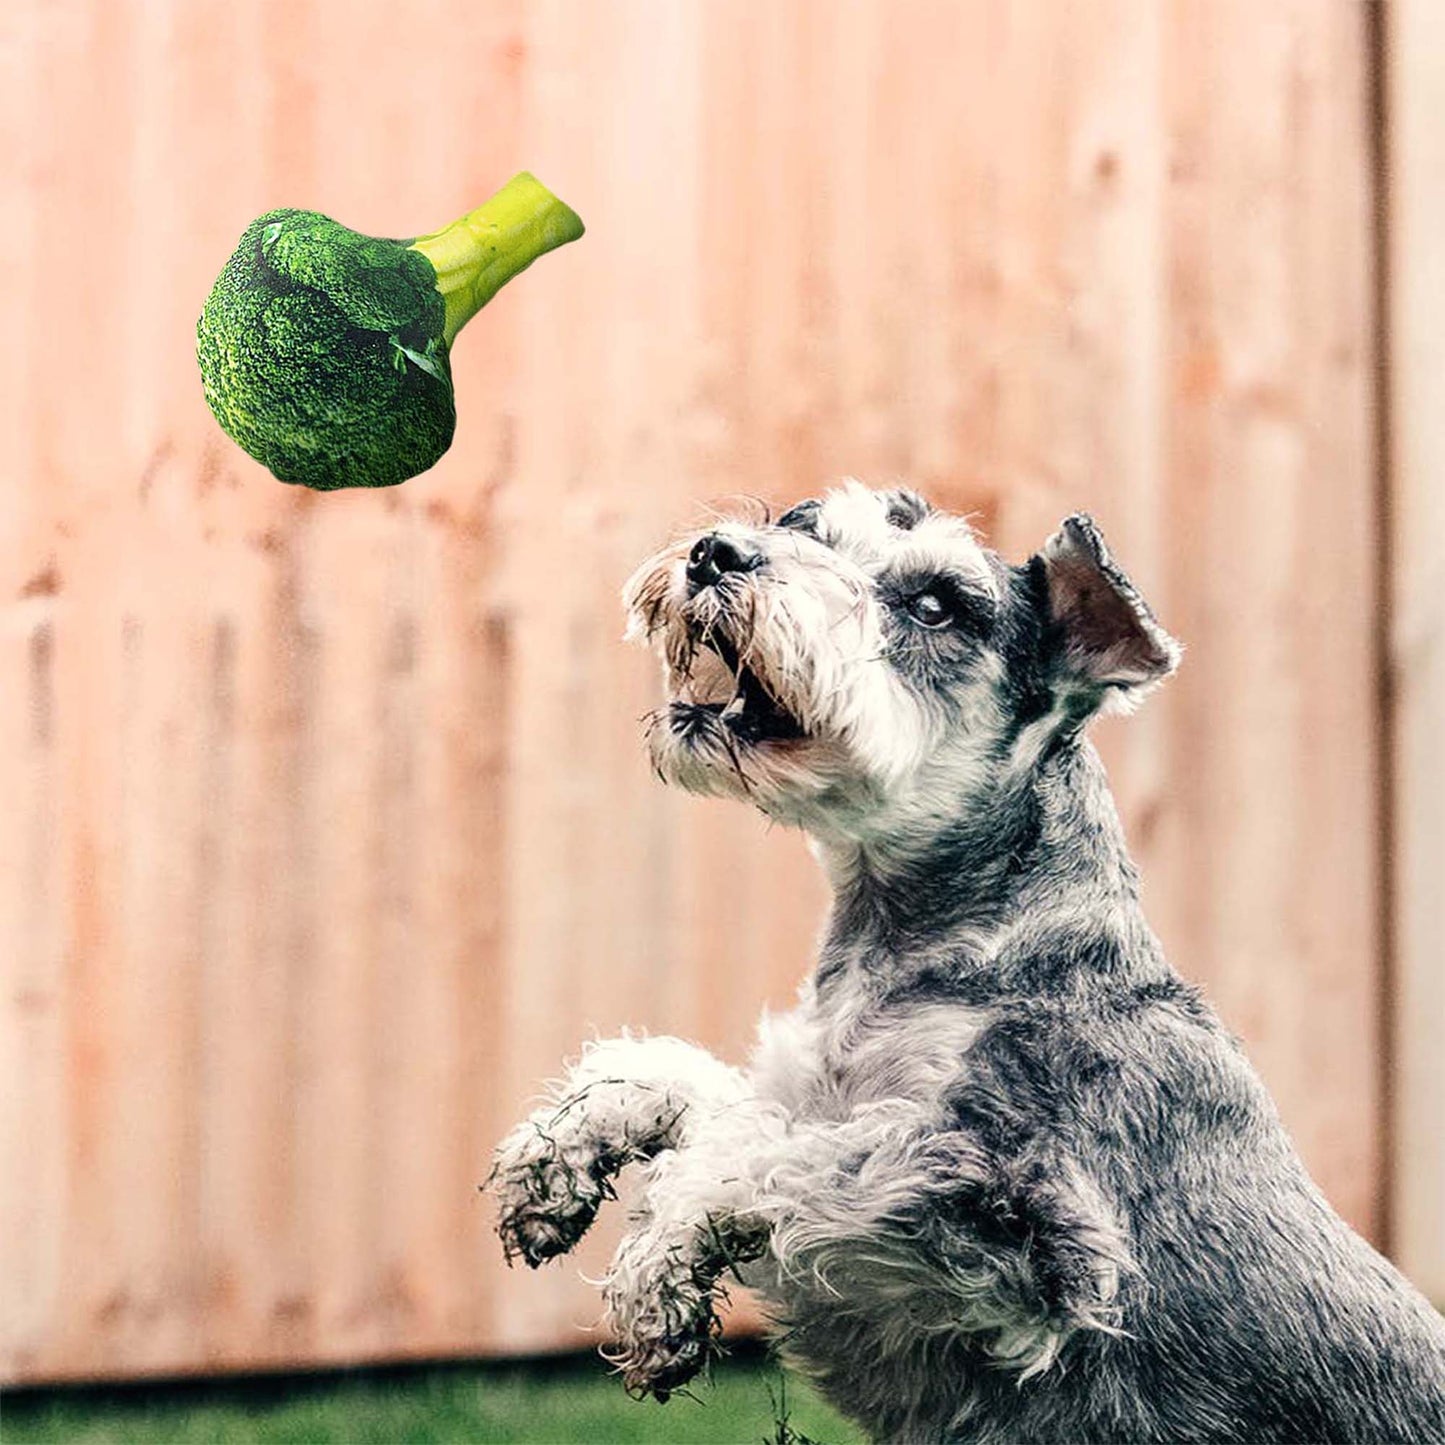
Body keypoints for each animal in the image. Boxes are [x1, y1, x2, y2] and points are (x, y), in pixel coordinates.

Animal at [488, 485, 1445, 1445]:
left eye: (934, 605)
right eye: (804, 524)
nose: (715, 553)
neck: (925, 946)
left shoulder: (1030, 1224)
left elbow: (783, 1157)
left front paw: (658, 1265)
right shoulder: (821, 1098)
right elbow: (700, 1088)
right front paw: (553, 1157)